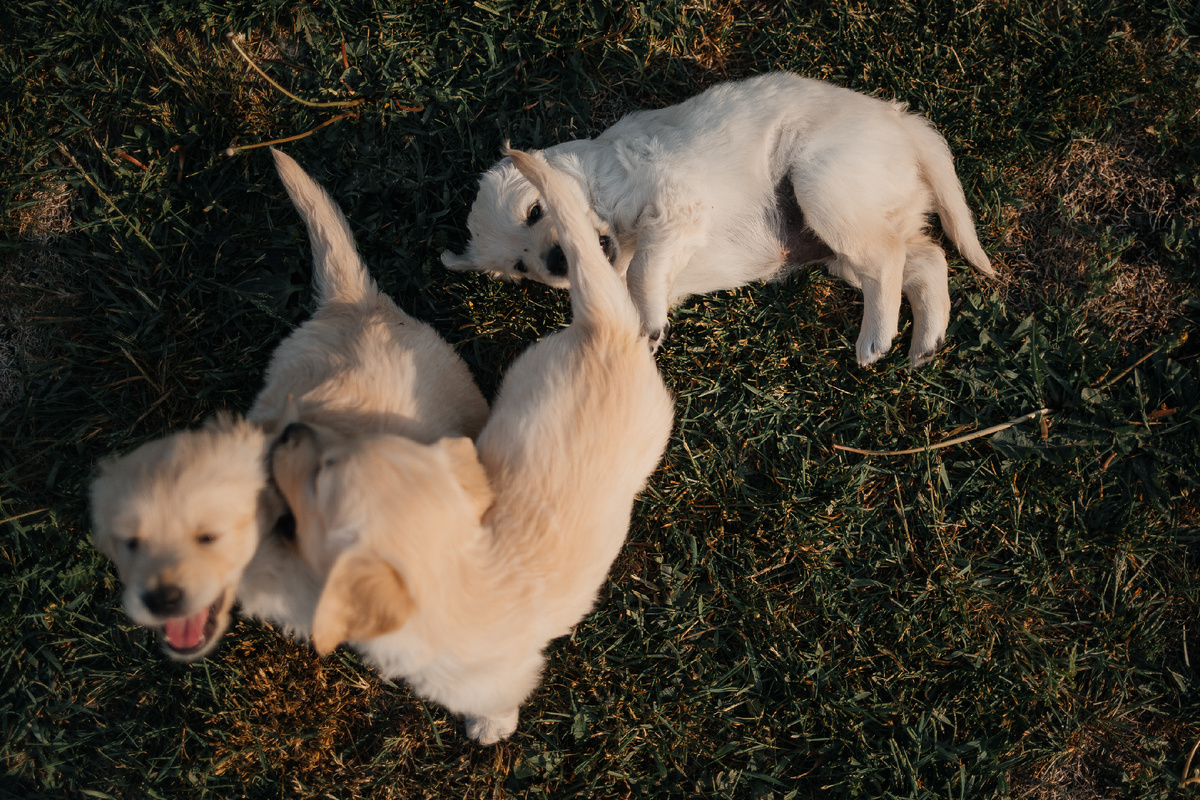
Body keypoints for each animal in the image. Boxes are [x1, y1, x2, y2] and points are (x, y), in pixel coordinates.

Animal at [441, 70, 993, 367]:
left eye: (536, 210)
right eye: (520, 269)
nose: (557, 262)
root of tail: (902, 121)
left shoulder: (674, 203)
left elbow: (642, 272)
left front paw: (650, 323)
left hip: (823, 186)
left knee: (890, 259)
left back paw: (876, 337)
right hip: (847, 238)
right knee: (924, 258)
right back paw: (925, 341)